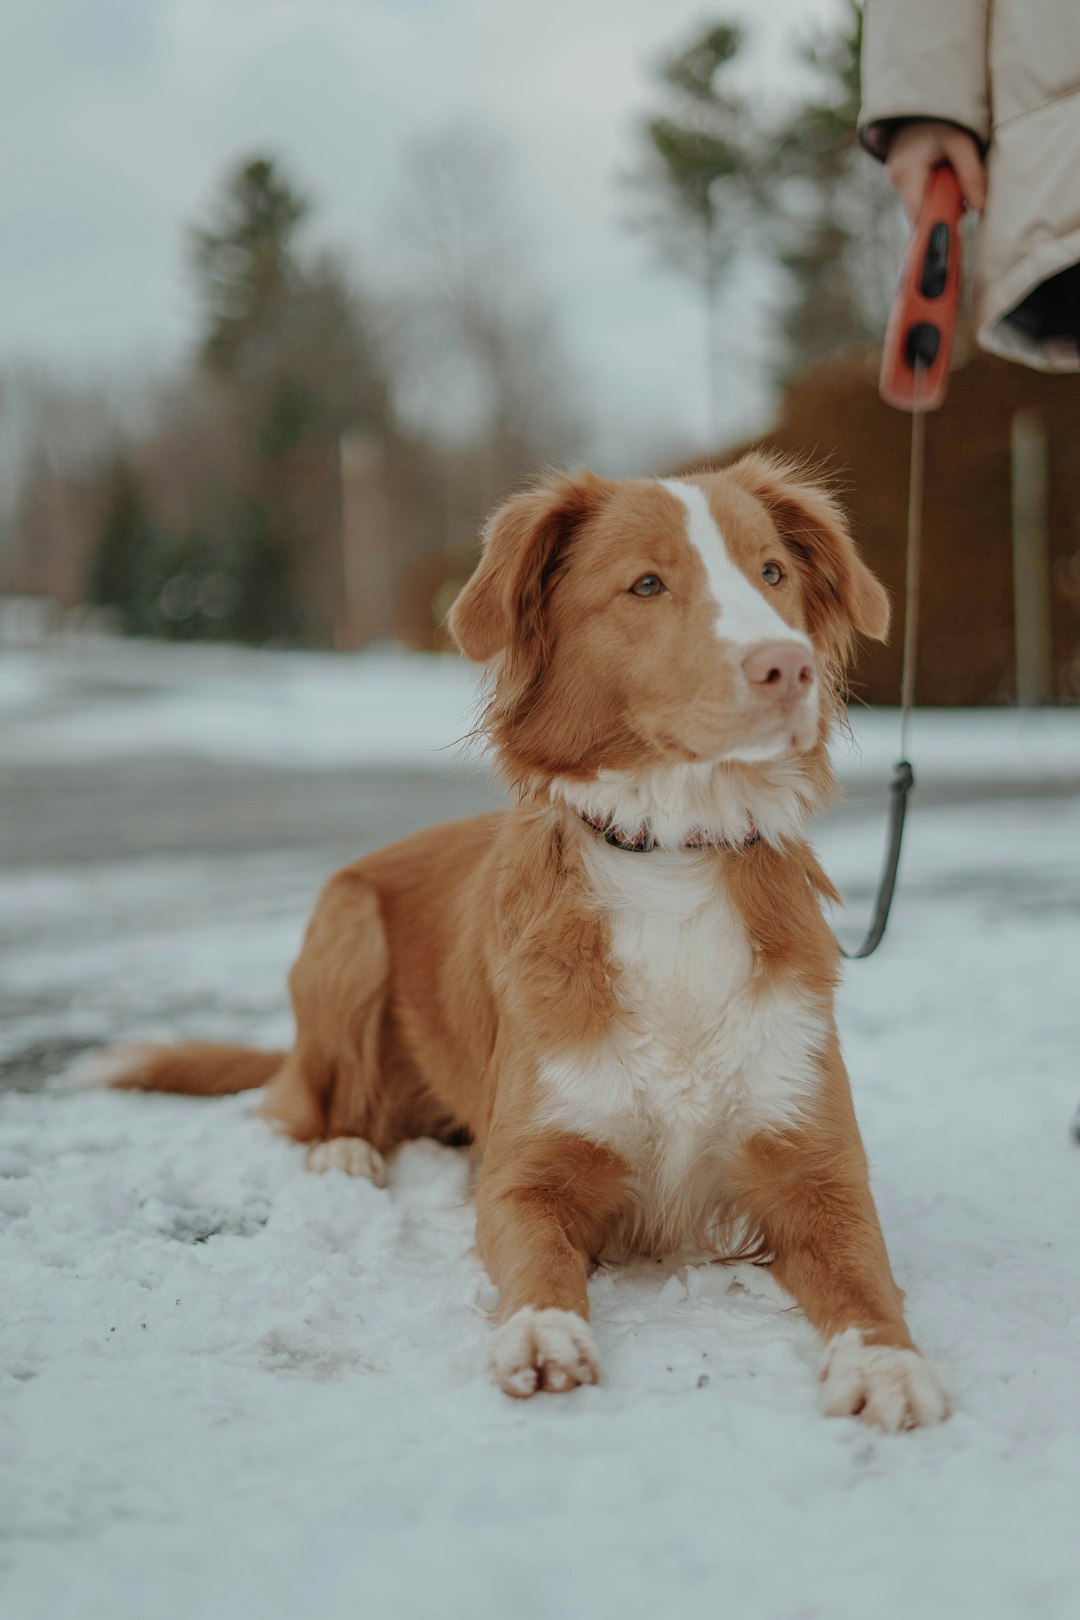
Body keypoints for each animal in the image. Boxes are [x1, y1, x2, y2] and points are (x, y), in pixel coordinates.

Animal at [99, 450, 945, 1425]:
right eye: (646, 584)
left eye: (772, 574)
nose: (789, 665)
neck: (670, 859)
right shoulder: (526, 1173)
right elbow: (537, 1257)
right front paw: (542, 1332)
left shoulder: (818, 1169)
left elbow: (865, 1279)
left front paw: (887, 1364)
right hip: (347, 927)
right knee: (302, 1108)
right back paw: (347, 1151)